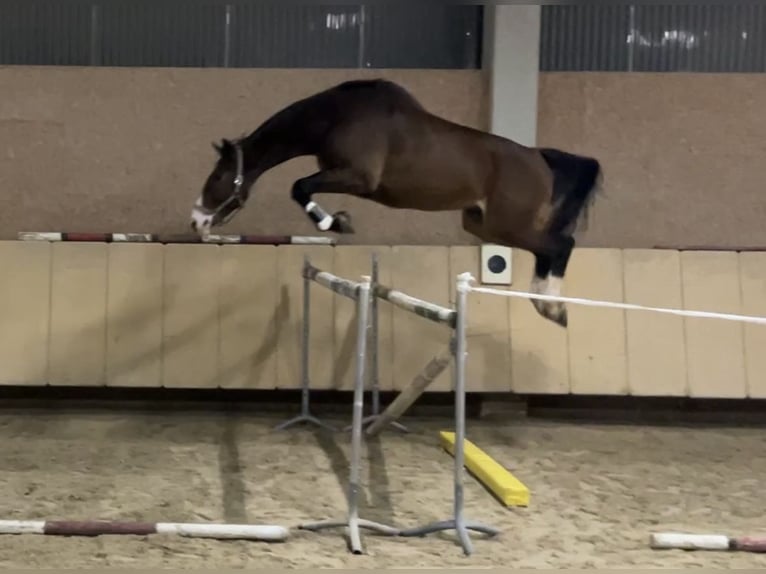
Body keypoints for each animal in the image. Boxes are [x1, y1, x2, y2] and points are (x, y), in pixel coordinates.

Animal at [190, 78, 603, 328]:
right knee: (547, 249)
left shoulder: (357, 176)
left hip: (506, 224)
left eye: (217, 178)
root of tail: (539, 158)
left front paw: (336, 222)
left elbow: (299, 187)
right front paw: (338, 219)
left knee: (561, 245)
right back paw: (546, 304)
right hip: (482, 224)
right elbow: (302, 187)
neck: (337, 116)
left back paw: (552, 306)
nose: (197, 221)